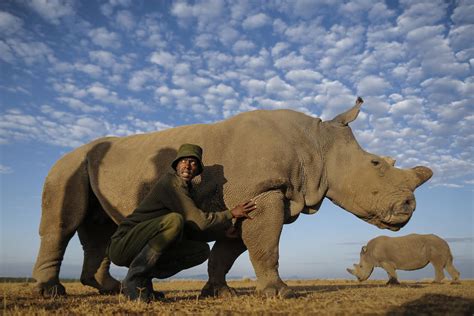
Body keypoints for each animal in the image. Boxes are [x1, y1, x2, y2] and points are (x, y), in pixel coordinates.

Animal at [32, 97, 434, 298]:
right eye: (376, 164)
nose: (410, 208)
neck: (318, 143)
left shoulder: (255, 197)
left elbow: (228, 251)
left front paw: (218, 293)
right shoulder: (264, 192)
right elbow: (266, 247)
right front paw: (281, 294)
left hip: (88, 167)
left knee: (97, 231)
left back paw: (110, 289)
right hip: (66, 166)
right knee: (62, 225)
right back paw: (53, 294)